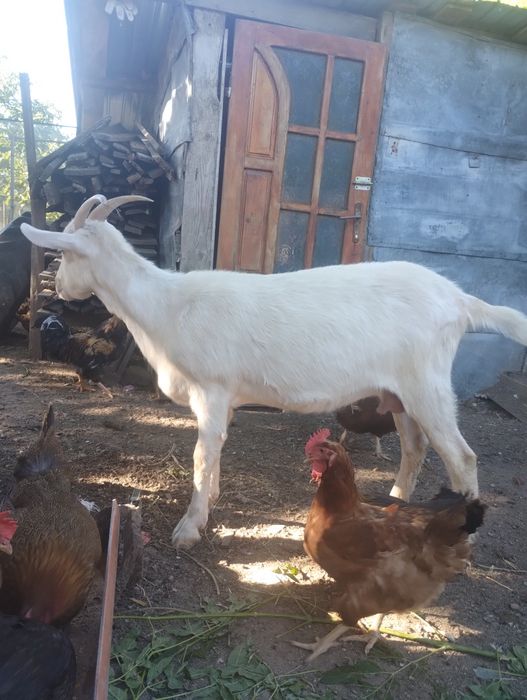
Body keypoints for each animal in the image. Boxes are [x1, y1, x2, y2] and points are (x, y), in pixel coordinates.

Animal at [21, 195, 527, 548]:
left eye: (64, 256)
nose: (58, 287)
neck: (167, 306)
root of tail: (459, 300)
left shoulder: (212, 389)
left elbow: (201, 455)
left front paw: (189, 527)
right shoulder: (222, 400)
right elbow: (215, 454)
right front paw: (212, 501)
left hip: (426, 384)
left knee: (462, 457)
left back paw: (465, 536)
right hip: (400, 393)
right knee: (415, 448)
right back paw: (397, 502)